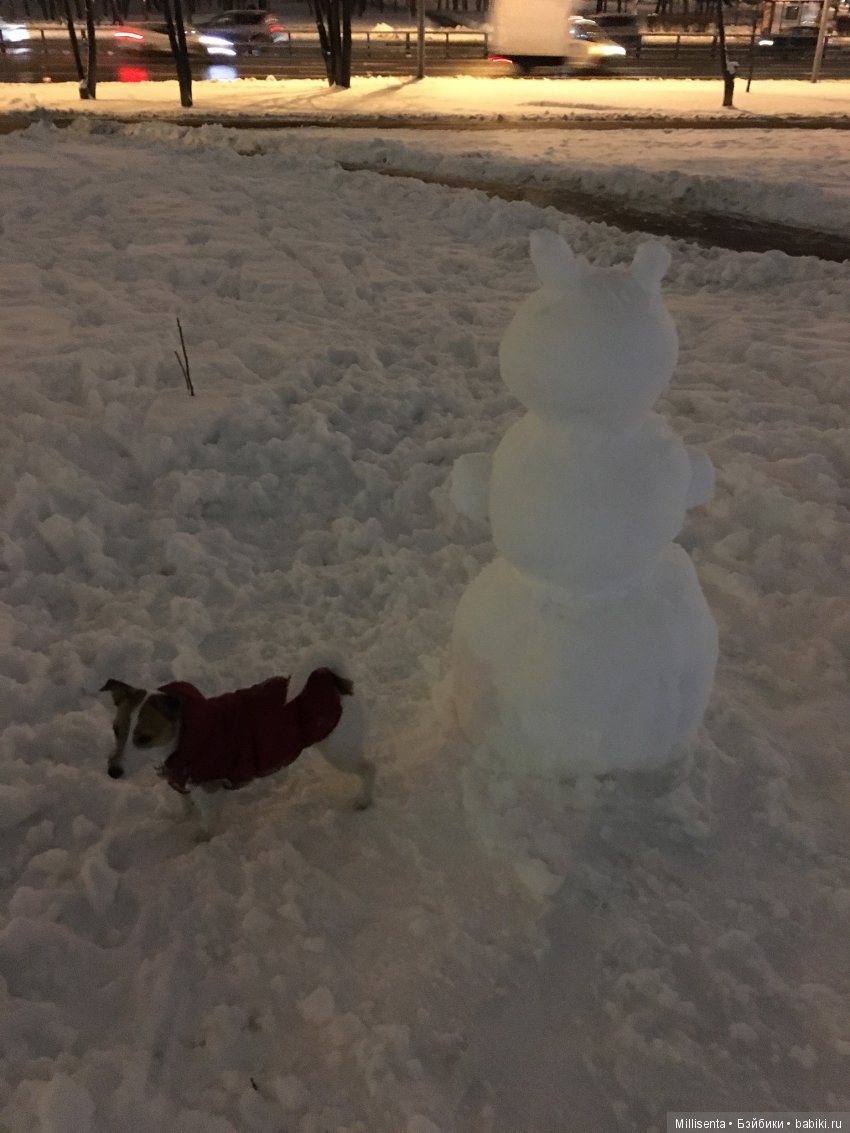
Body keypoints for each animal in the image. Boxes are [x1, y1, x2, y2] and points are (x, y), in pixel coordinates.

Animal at [101, 653, 373, 836]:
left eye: (144, 738)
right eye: (116, 730)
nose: (112, 772)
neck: (183, 736)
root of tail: (333, 680)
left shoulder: (209, 790)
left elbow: (208, 823)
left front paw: (200, 840)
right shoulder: (181, 781)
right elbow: (185, 805)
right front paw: (182, 818)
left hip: (339, 749)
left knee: (368, 768)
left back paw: (364, 800)